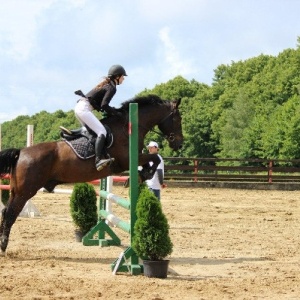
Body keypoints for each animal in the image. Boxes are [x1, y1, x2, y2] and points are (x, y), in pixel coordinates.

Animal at [0, 95, 183, 254]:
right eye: (178, 119)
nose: (179, 144)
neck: (128, 127)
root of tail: (21, 152)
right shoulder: (127, 160)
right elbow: (154, 158)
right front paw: (143, 175)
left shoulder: (133, 159)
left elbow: (151, 161)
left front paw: (141, 175)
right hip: (25, 191)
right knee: (10, 214)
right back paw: (3, 245)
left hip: (16, 191)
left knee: (6, 212)